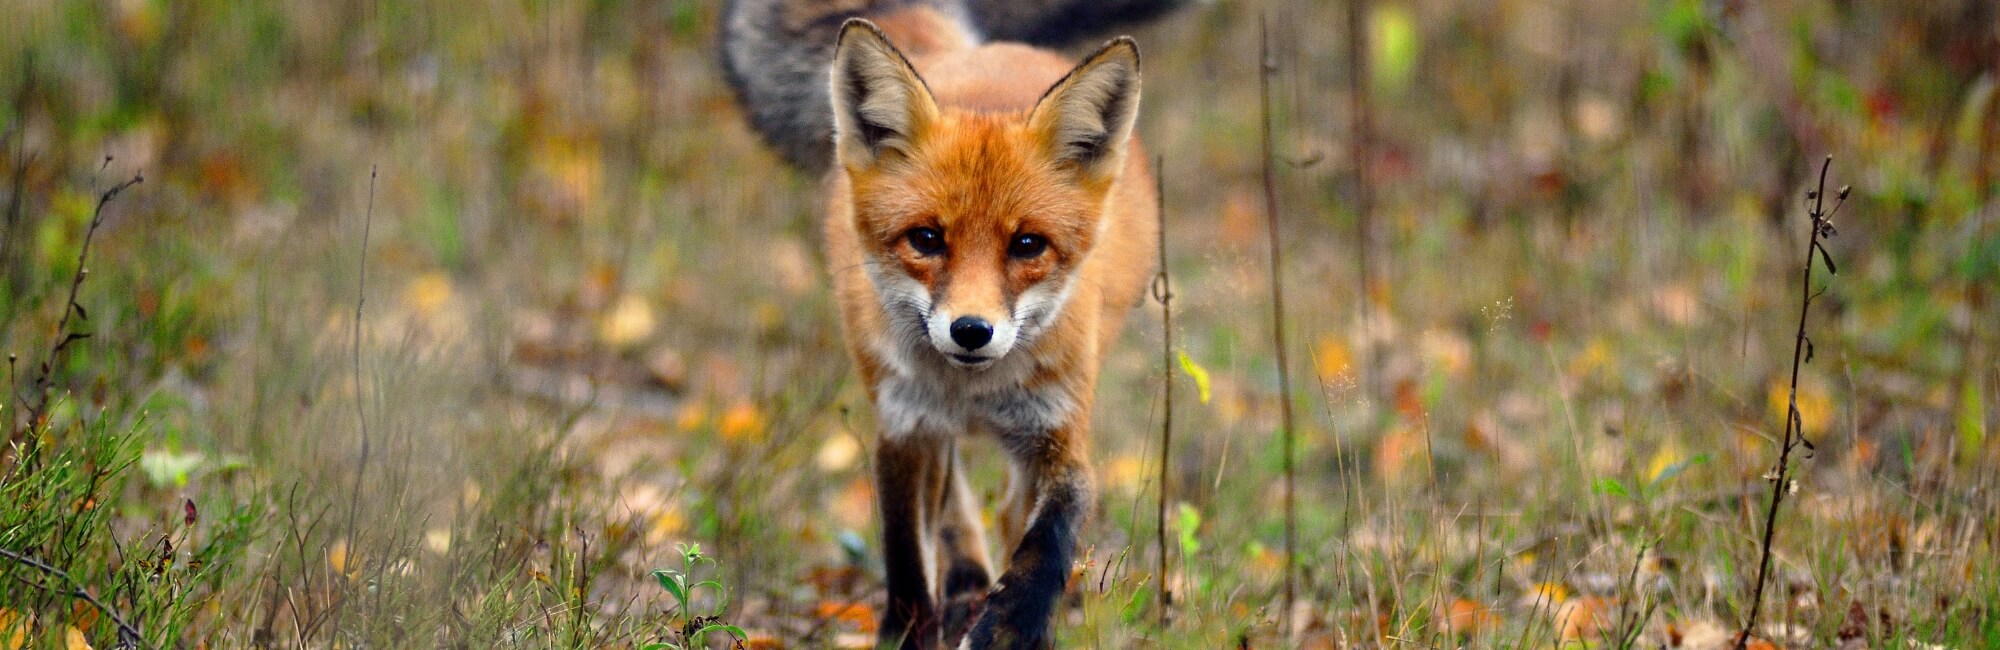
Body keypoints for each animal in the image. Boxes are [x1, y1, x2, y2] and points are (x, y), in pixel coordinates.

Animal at [721, 1, 1186, 647]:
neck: (974, 392)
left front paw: (1012, 625)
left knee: (1007, 511)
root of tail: (965, 54)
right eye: (926, 239)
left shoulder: (1060, 435)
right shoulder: (902, 428)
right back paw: (965, 581)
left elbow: (1049, 538)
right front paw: (907, 631)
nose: (971, 330)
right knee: (954, 506)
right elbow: (906, 553)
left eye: (1027, 245)